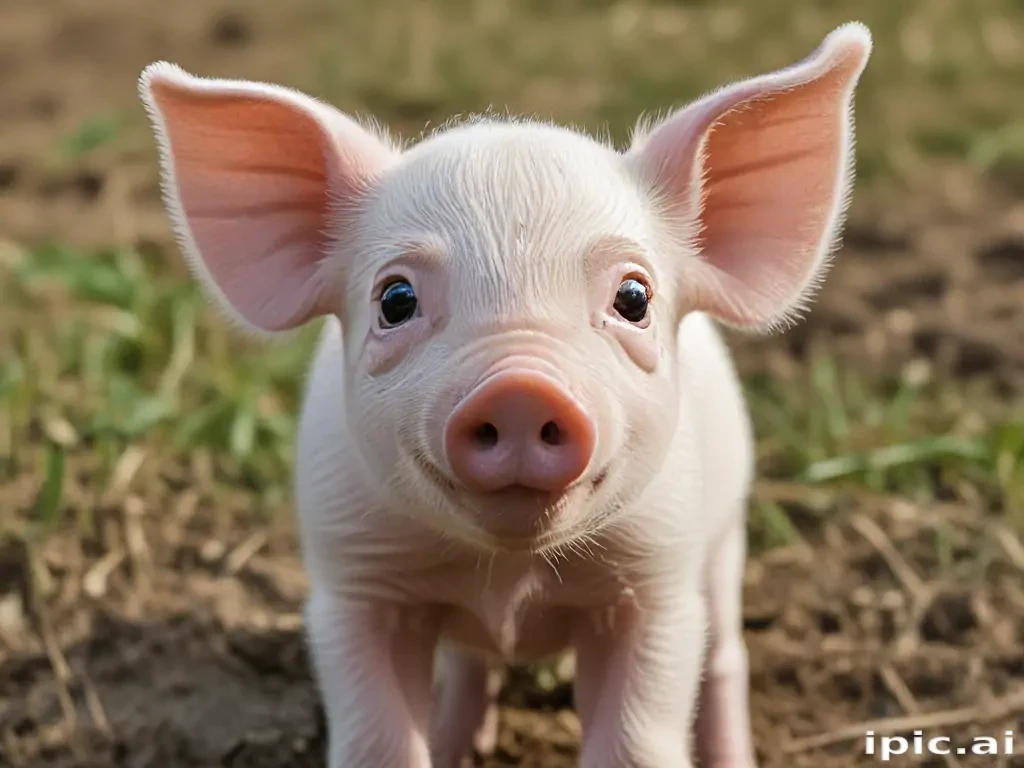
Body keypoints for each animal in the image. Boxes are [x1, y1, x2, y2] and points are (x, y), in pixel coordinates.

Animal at [139, 22, 871, 768]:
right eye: (395, 299)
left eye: (633, 299)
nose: (520, 388)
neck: (510, 577)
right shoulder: (352, 578)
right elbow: (378, 737)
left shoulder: (656, 580)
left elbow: (636, 736)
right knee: (470, 660)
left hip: (725, 538)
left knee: (725, 656)